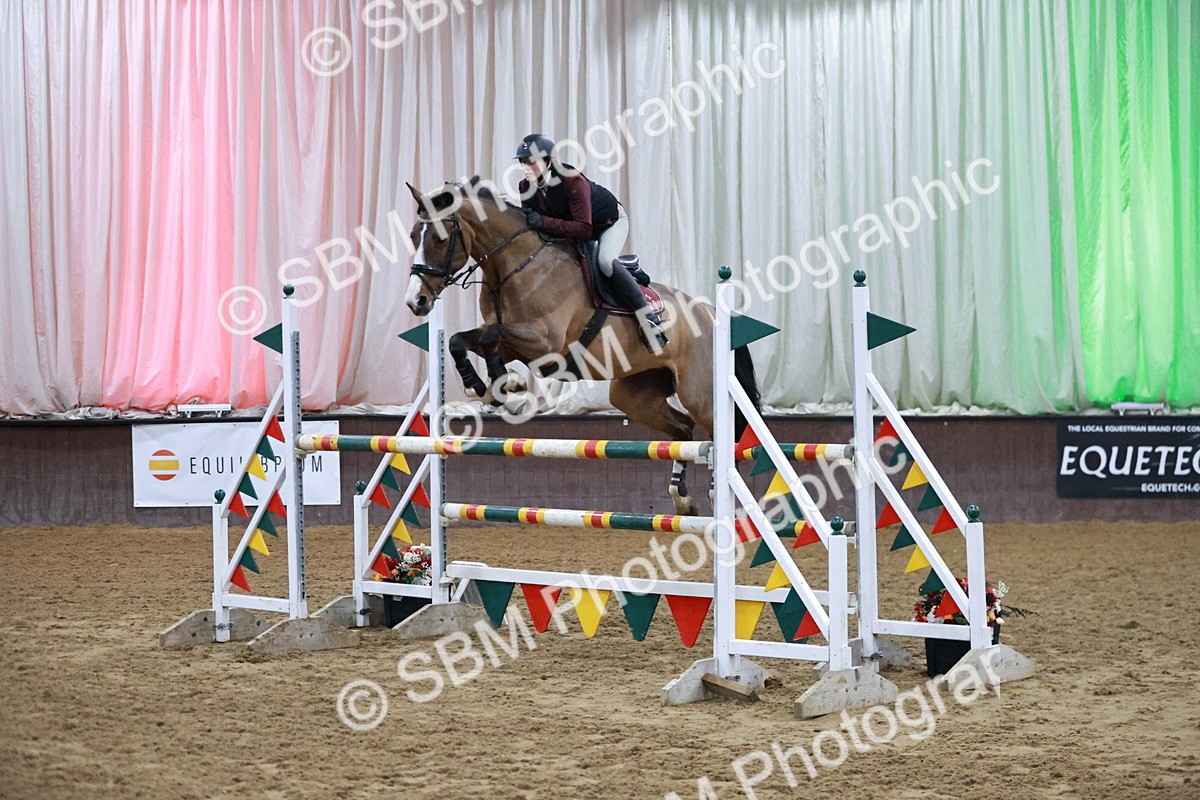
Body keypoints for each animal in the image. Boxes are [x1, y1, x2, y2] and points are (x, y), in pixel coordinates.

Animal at [402, 177, 760, 516]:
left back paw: (720, 500)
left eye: (439, 239)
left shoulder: (545, 342)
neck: (514, 265)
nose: (415, 302)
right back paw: (682, 500)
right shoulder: (516, 346)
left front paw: (504, 384)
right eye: (413, 236)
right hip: (634, 394)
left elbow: (490, 336)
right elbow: (462, 340)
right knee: (683, 428)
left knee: (717, 435)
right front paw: (486, 385)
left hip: (699, 393)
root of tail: (708, 311)